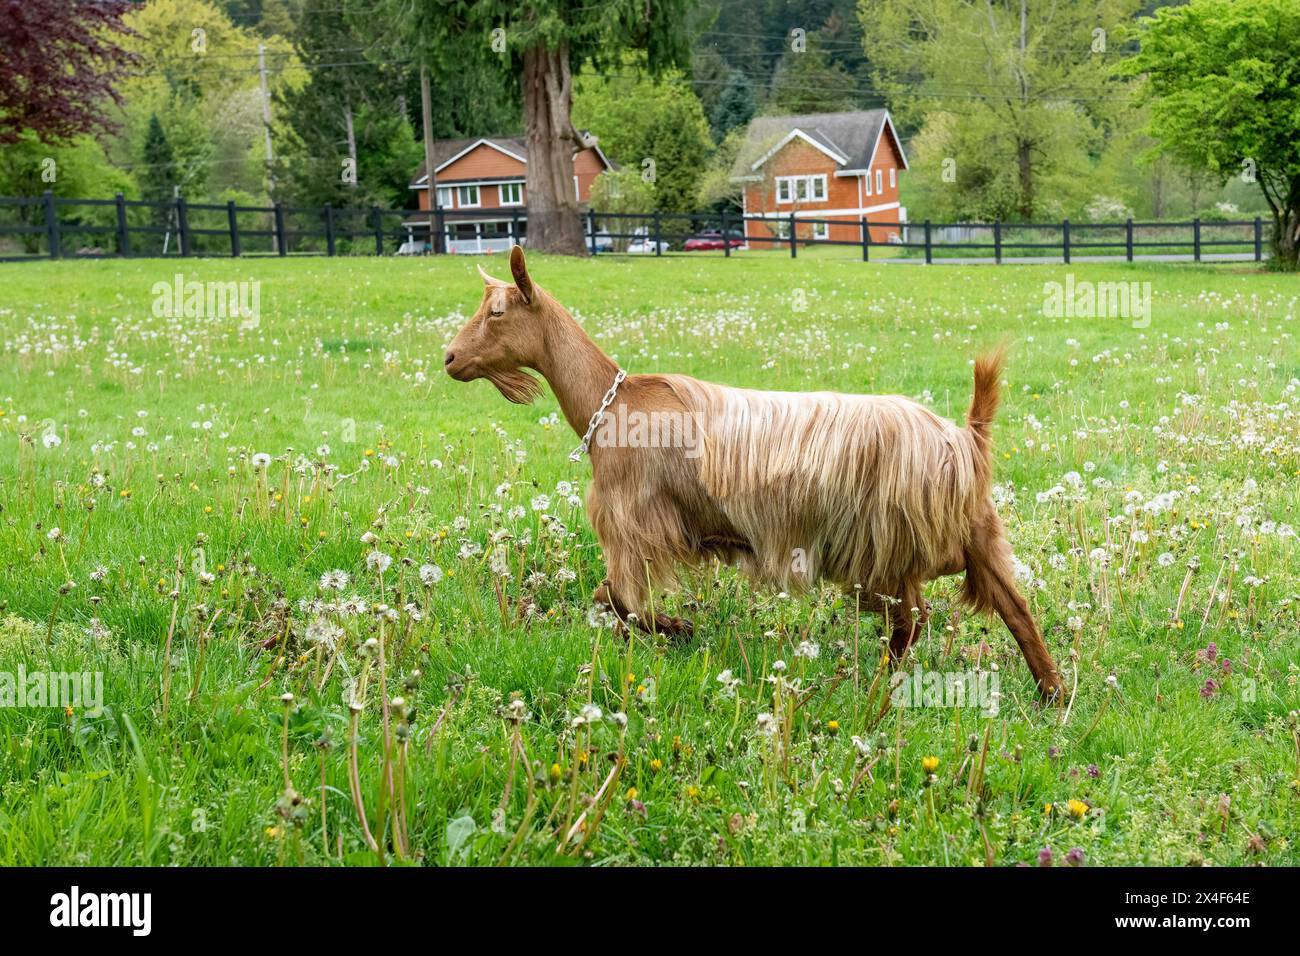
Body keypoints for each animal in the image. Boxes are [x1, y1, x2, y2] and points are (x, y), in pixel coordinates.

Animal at [447, 247, 1066, 697]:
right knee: (1012, 608)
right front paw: (679, 628)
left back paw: (870, 687)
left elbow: (619, 600)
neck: (612, 403)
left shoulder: (635, 523)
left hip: (885, 543)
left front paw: (680, 629)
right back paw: (1052, 692)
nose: (450, 358)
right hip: (974, 533)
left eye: (497, 313)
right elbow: (611, 601)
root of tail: (964, 438)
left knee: (912, 619)